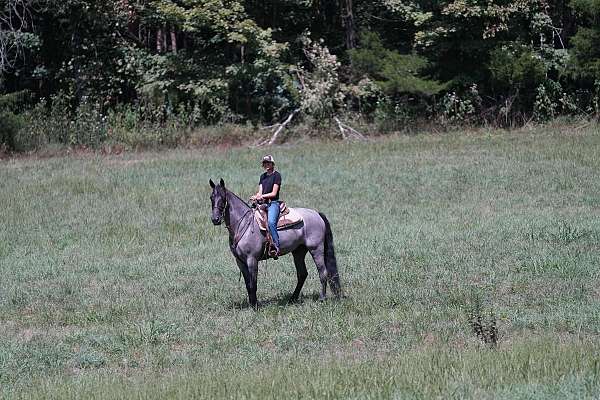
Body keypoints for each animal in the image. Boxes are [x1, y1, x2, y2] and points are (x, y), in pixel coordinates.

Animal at [209, 180, 340, 308]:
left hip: (316, 249)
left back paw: (322, 299)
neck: (243, 224)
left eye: (223, 197)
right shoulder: (240, 261)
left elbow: (253, 284)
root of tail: (317, 214)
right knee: (302, 274)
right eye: (211, 197)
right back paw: (292, 299)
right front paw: (251, 304)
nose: (215, 219)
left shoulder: (252, 259)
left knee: (323, 272)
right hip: (298, 252)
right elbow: (248, 284)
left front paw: (255, 306)